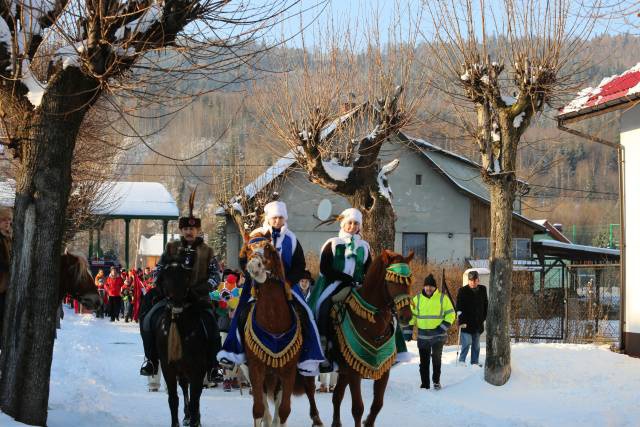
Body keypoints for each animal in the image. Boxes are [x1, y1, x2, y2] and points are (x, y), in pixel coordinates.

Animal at [242, 234, 322, 427]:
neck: (273, 322)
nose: (254, 266)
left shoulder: (288, 371)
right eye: (248, 249)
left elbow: (284, 409)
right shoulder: (255, 368)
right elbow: (258, 409)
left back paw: (316, 418)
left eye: (268, 248)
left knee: (308, 390)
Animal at [330, 251, 416, 427]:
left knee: (337, 396)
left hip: (343, 371)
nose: (406, 316)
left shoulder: (384, 370)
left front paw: (368, 421)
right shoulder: (354, 371)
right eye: (391, 280)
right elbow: (357, 408)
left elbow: (377, 405)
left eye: (409, 280)